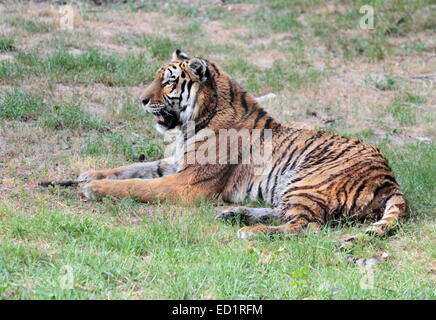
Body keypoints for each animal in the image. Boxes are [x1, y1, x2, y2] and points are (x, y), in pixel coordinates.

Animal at [79, 50, 408, 239]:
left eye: (169, 81)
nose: (142, 100)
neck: (197, 119)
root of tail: (389, 178)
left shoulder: (189, 183)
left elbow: (137, 185)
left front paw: (94, 188)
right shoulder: (175, 164)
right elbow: (131, 169)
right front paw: (88, 176)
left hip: (308, 180)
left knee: (307, 225)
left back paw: (249, 230)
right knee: (288, 214)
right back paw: (234, 214)